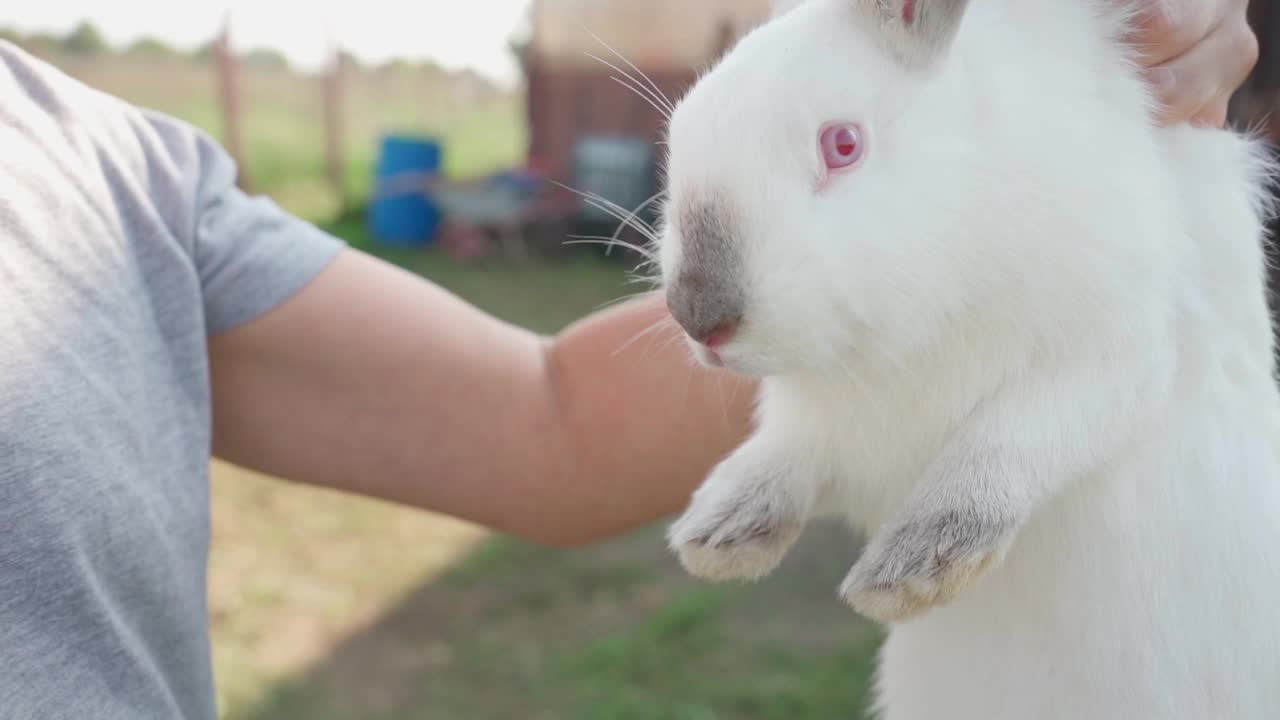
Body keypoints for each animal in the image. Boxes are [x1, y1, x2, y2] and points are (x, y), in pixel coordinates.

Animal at [655, 0, 1280, 712]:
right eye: (680, 128)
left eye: (842, 144)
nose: (698, 315)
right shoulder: (830, 430)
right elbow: (791, 454)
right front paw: (719, 532)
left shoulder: (1109, 355)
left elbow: (1000, 449)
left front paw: (908, 573)